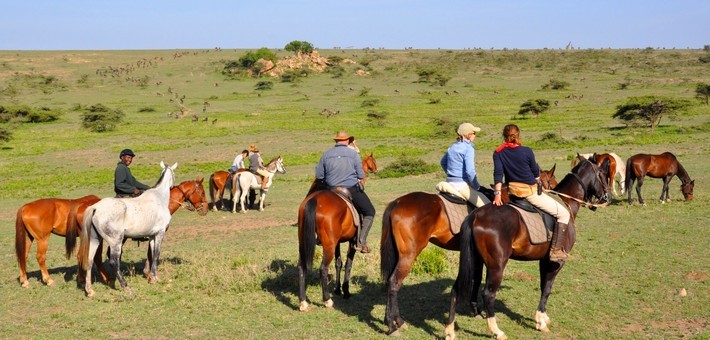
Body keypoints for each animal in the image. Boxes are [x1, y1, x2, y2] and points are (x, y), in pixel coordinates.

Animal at [78, 161, 177, 296]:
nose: (173, 186)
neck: (159, 198)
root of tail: (96, 208)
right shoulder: (160, 233)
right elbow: (156, 254)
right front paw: (154, 278)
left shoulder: (152, 236)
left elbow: (152, 254)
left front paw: (153, 276)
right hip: (116, 242)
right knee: (114, 262)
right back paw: (126, 286)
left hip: (95, 240)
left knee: (89, 260)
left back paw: (90, 290)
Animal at [298, 179, 358, 312]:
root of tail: (314, 199)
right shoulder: (352, 242)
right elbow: (348, 264)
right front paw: (345, 291)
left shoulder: (337, 242)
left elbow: (338, 263)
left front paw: (338, 289)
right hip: (329, 247)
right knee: (323, 269)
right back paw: (327, 300)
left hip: (303, 243)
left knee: (301, 267)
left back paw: (303, 302)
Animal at [384, 166, 560, 336]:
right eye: (552, 181)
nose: (554, 193)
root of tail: (397, 202)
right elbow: (478, 278)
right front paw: (477, 310)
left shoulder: (477, 256)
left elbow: (477, 276)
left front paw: (476, 309)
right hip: (409, 254)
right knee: (394, 282)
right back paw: (395, 324)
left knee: (389, 280)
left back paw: (390, 320)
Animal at [444, 155, 612, 340]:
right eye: (602, 173)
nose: (607, 196)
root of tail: (476, 214)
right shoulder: (556, 262)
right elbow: (547, 288)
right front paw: (540, 321)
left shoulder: (544, 260)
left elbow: (543, 285)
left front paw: (543, 317)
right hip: (497, 266)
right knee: (488, 294)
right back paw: (497, 331)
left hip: (473, 260)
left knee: (456, 289)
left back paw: (450, 330)